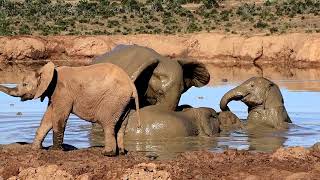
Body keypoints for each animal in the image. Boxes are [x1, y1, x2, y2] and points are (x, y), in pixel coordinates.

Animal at [0, 61, 140, 156]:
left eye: (25, 84)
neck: (48, 71)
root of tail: (132, 85)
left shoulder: (62, 92)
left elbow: (58, 117)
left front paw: (55, 151)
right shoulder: (54, 94)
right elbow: (48, 118)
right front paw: (35, 149)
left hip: (113, 100)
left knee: (108, 124)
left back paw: (107, 154)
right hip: (124, 103)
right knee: (122, 125)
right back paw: (121, 152)